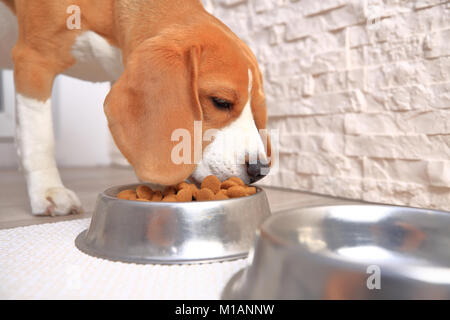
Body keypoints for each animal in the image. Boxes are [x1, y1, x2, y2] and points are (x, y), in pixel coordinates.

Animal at [0, 0, 270, 216]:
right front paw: (47, 190)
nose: (260, 170)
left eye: (256, 110)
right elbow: (39, 139)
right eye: (220, 102)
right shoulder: (34, 60)